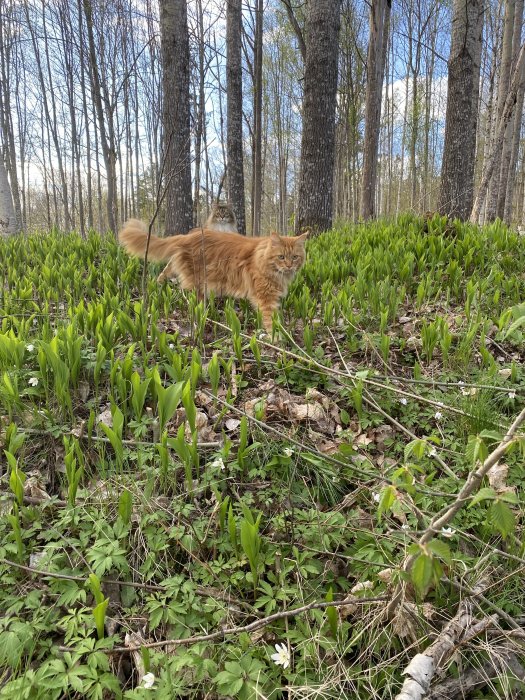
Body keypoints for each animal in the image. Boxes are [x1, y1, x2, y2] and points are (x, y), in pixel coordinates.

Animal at [118, 221, 308, 330]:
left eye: (295, 257)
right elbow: (271, 321)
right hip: (199, 285)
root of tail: (185, 236)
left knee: (163, 273)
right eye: (281, 257)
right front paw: (277, 342)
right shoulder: (266, 298)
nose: (289, 265)